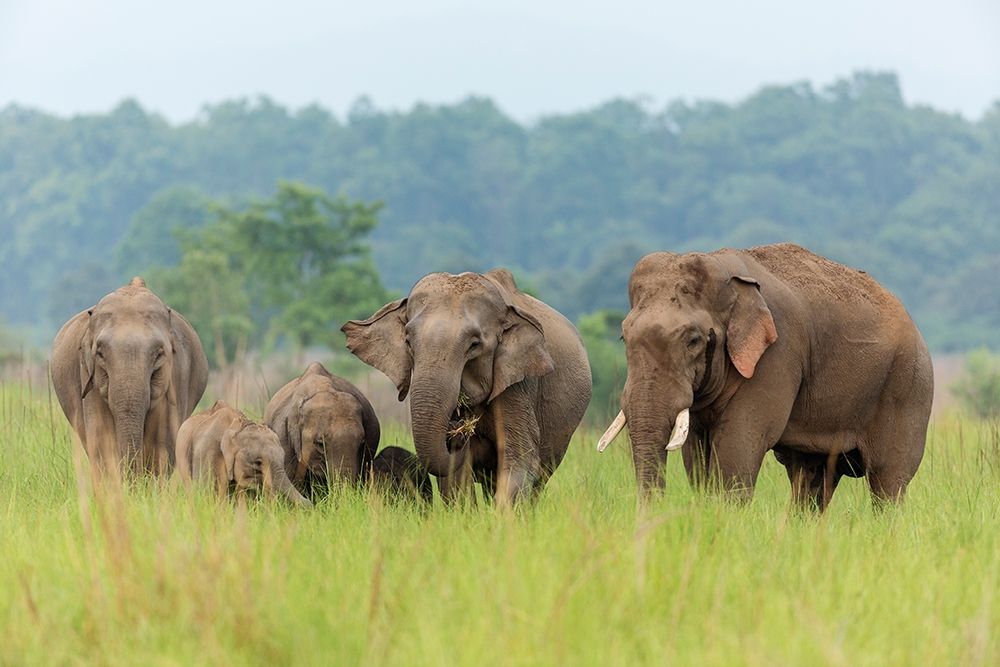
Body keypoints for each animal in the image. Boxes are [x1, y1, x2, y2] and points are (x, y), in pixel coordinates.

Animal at [51, 277, 209, 475]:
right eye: (100, 353)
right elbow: (101, 439)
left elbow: (163, 441)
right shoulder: (87, 375)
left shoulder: (178, 375)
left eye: (159, 354)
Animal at [342, 268, 592, 505]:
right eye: (408, 342)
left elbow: (519, 459)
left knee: (538, 479)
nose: (457, 433)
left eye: (474, 345)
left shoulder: (519, 383)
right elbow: (456, 479)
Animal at [598, 243, 933, 510]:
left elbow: (738, 444)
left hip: (907, 387)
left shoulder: (777, 354)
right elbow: (696, 452)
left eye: (693, 340)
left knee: (888, 480)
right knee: (810, 478)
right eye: (624, 337)